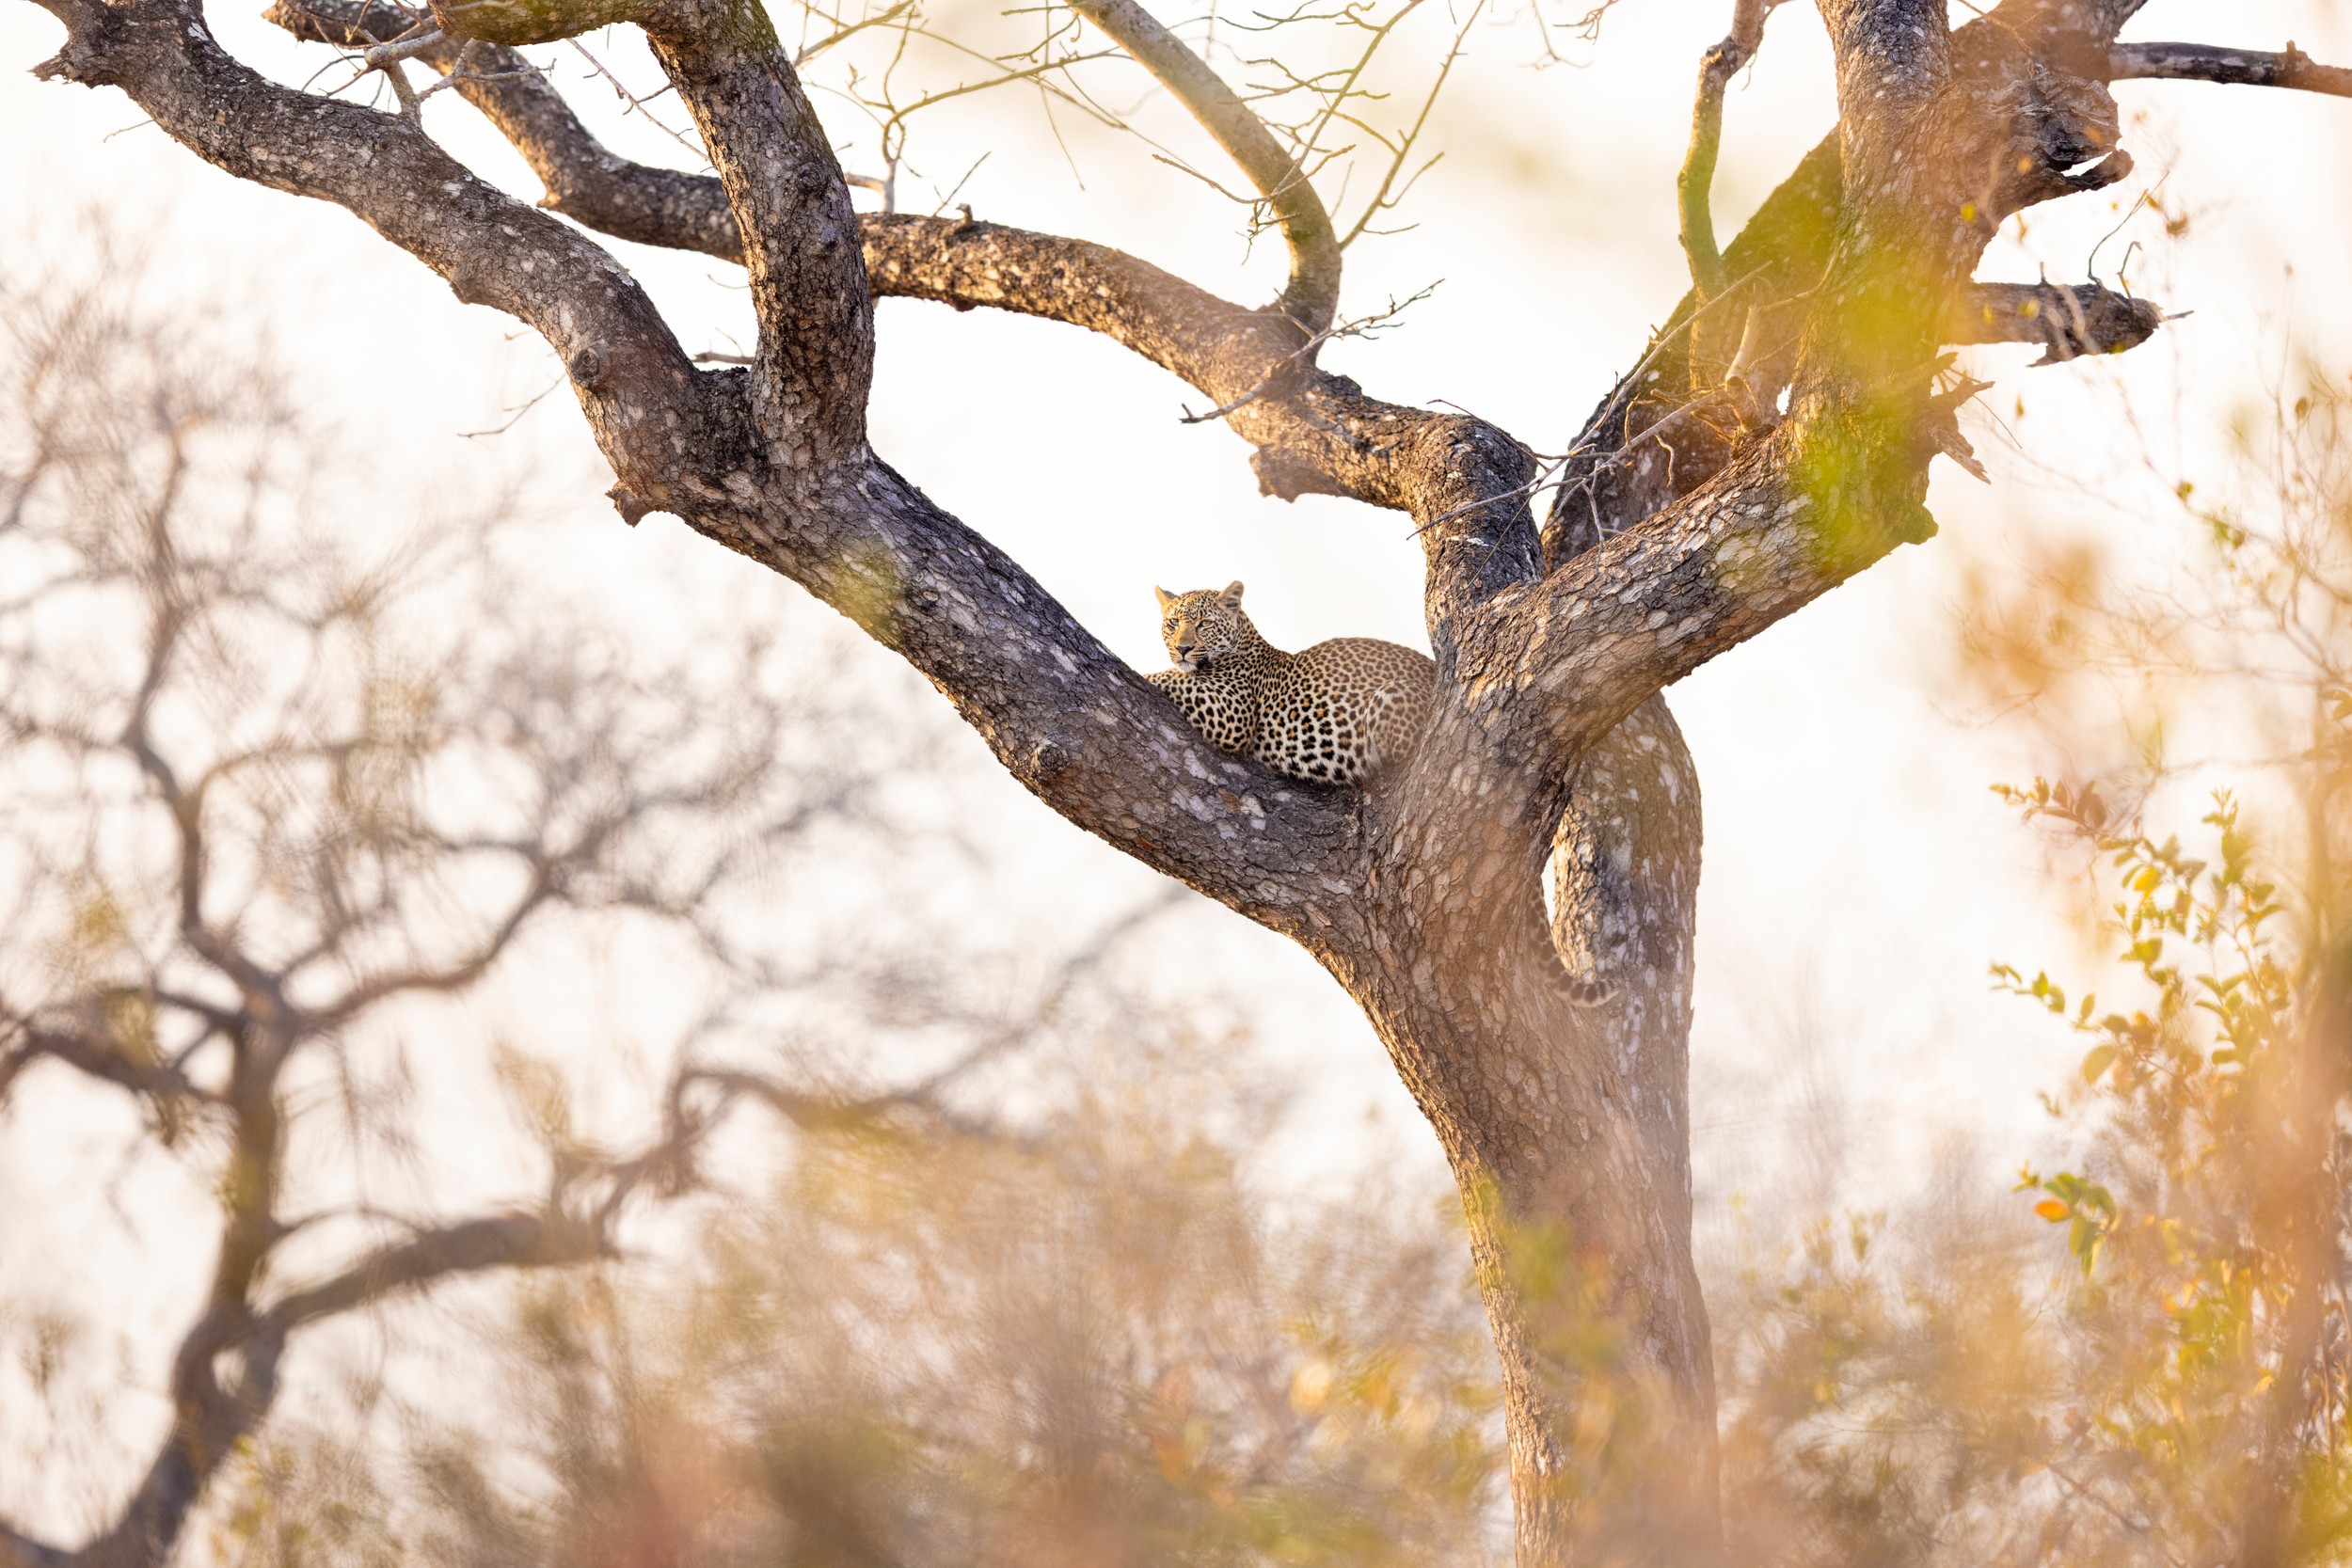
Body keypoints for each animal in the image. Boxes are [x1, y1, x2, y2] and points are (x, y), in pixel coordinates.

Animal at [1144, 581, 1434, 786]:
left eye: (1204, 624)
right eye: (1173, 623)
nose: (1182, 648)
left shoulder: (1234, 712)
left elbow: (1174, 677)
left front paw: (1145, 674)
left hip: (1391, 692)